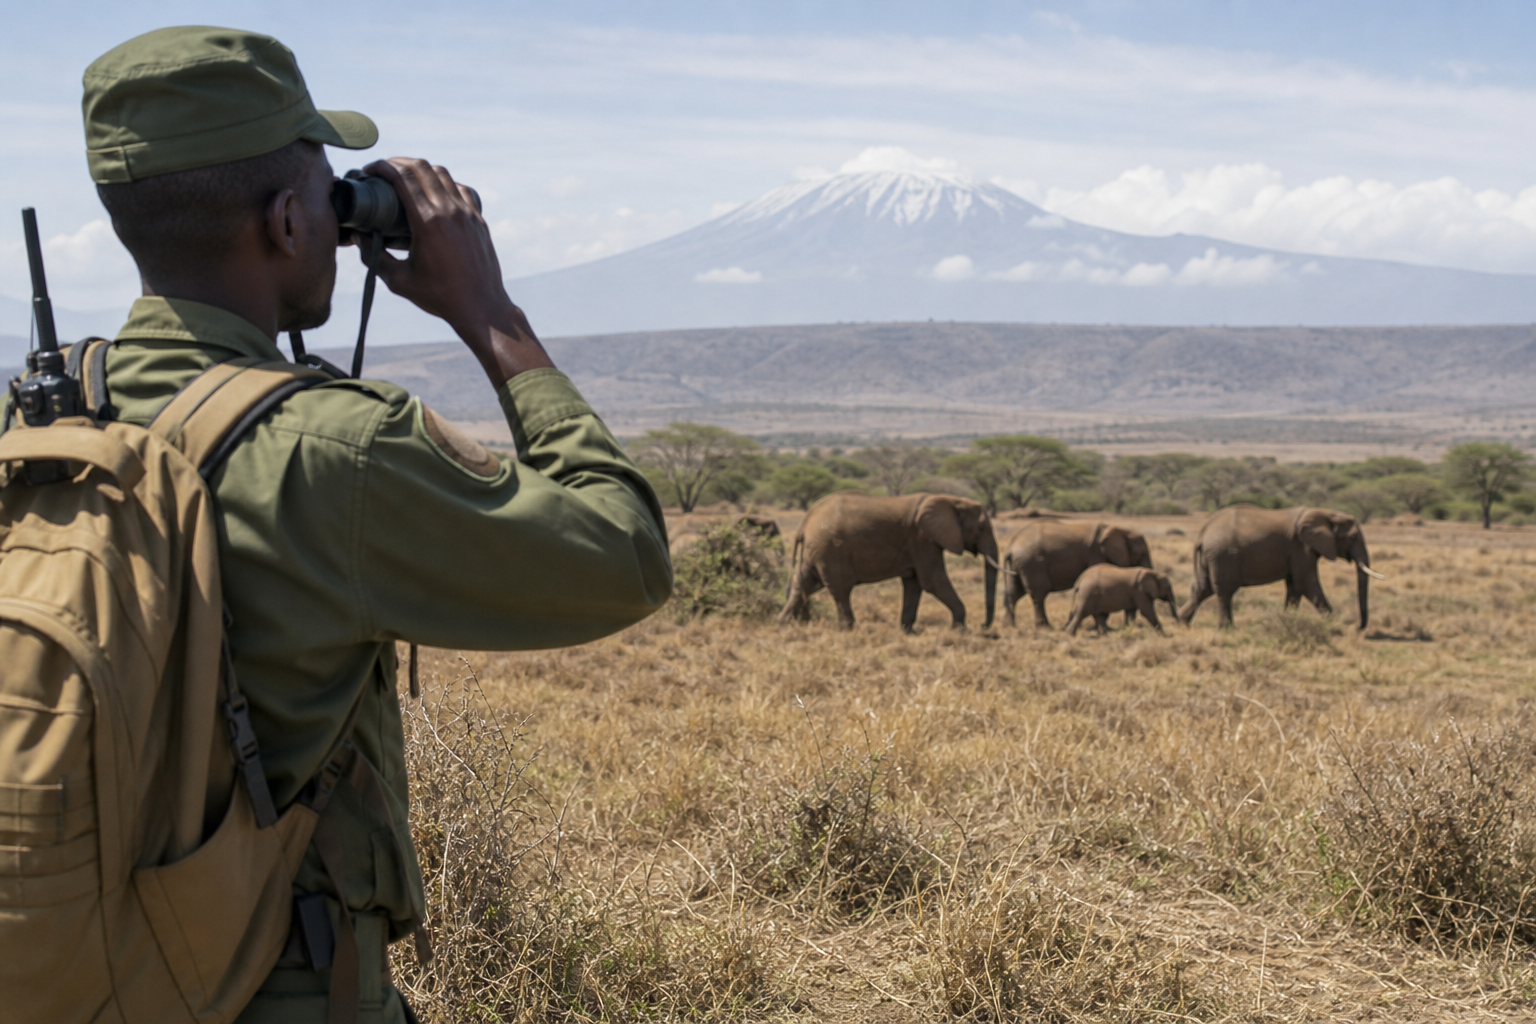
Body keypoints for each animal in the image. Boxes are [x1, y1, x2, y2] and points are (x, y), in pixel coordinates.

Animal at [777, 492, 998, 632]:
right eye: (981, 529)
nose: (983, 626)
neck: (952, 500)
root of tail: (805, 521)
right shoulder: (922, 539)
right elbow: (933, 581)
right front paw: (960, 631)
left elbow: (914, 584)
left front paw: (908, 631)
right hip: (831, 550)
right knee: (840, 589)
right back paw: (848, 629)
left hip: (815, 550)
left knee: (803, 584)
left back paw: (783, 624)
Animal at [1001, 521, 1153, 628]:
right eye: (1142, 554)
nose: (1132, 625)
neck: (1121, 529)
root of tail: (1011, 546)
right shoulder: (1097, 555)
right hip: (1033, 563)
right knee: (1038, 594)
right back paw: (1045, 627)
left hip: (1018, 564)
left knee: (1014, 592)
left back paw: (1009, 626)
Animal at [1177, 504, 1385, 629]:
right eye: (1353, 537)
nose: (1358, 627)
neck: (1326, 513)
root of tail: (1202, 534)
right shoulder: (1301, 548)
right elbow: (1306, 584)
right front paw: (1334, 625)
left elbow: (1295, 587)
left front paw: (1287, 621)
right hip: (1223, 556)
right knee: (1224, 591)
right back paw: (1226, 629)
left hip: (1210, 558)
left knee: (1202, 589)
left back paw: (1181, 622)